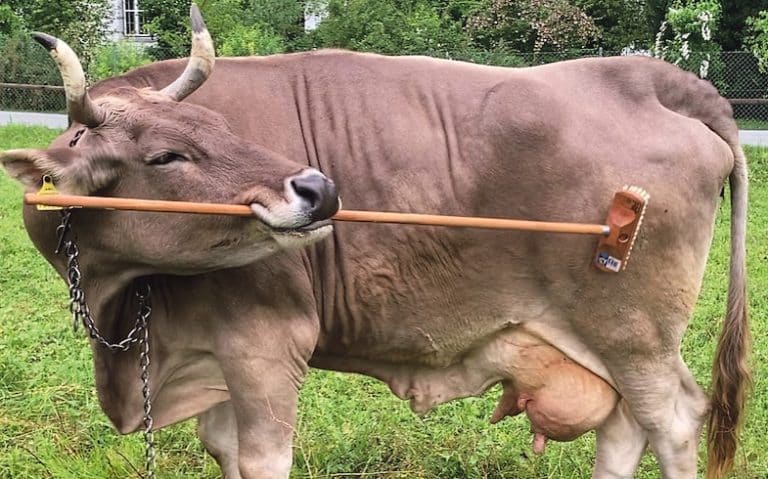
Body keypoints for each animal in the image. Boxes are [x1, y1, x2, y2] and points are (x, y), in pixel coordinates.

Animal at [0, 7, 749, 479]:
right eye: (165, 155)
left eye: (222, 125)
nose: (317, 187)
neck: (127, 311)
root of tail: (654, 78)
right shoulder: (209, 355)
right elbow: (223, 450)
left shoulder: (266, 343)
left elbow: (262, 459)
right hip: (610, 344)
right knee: (624, 426)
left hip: (635, 333)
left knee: (673, 422)